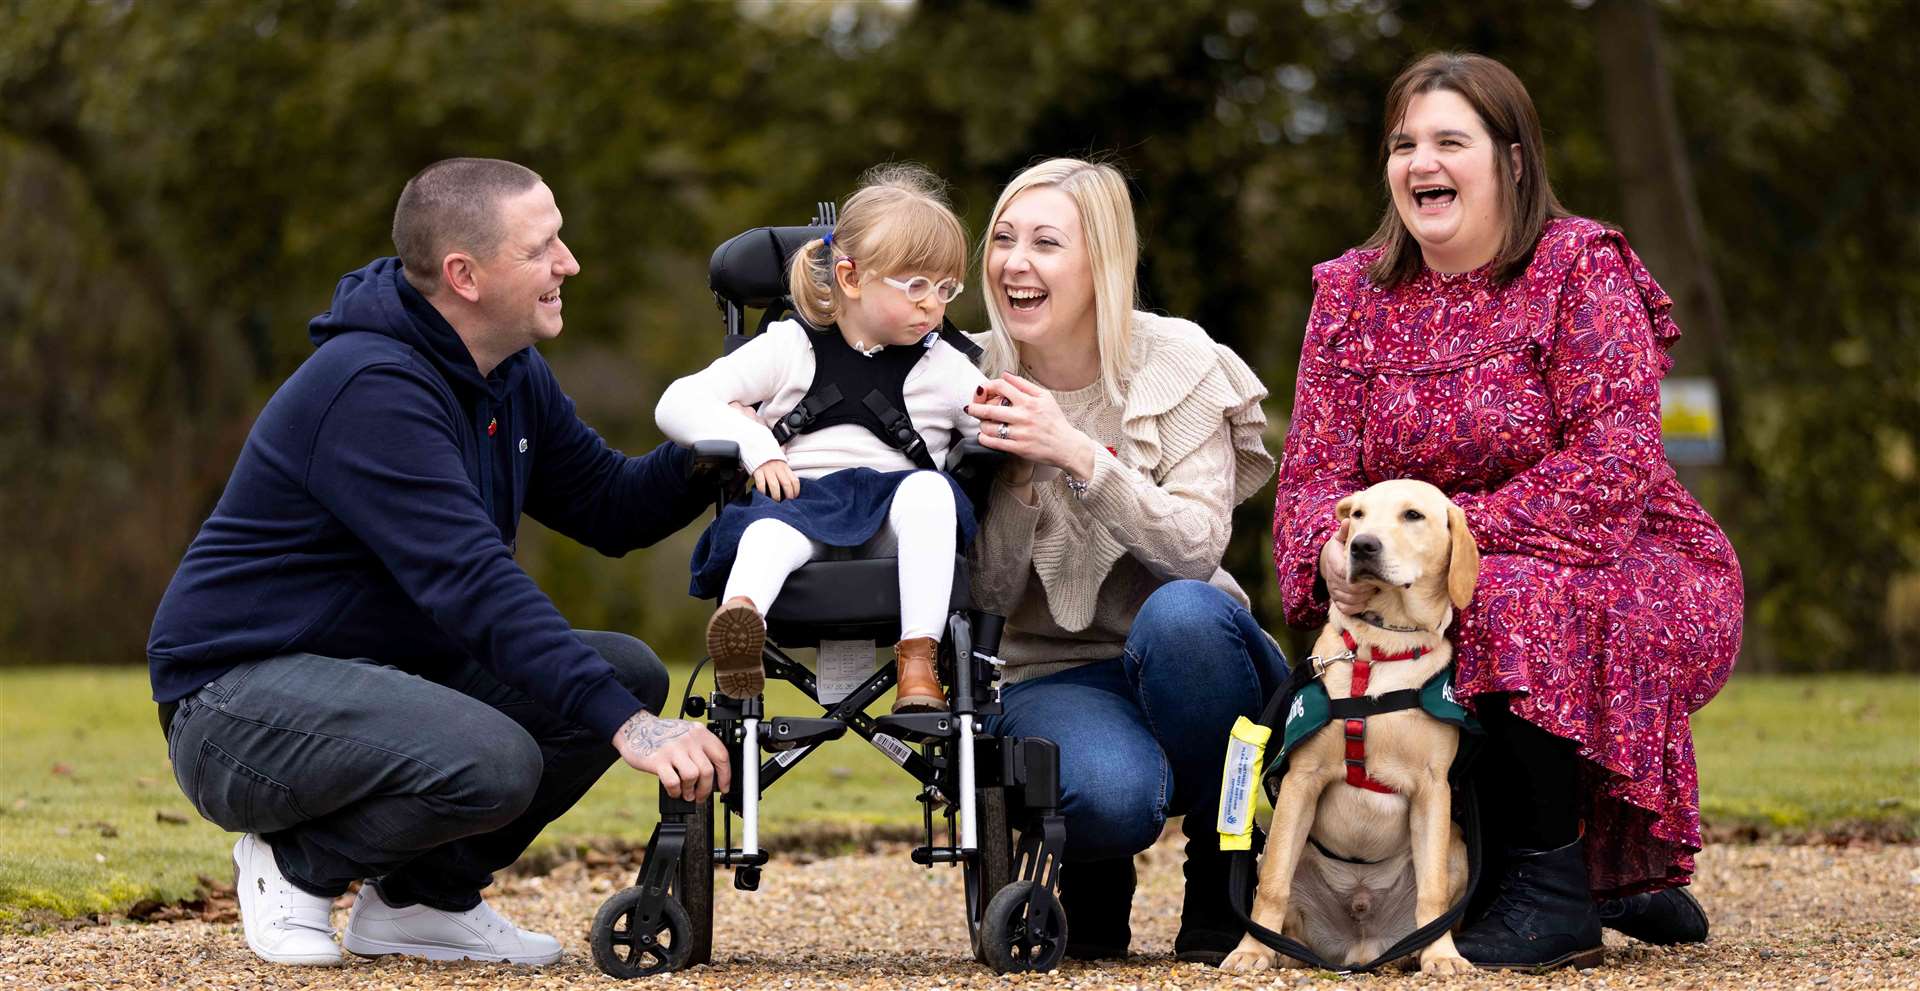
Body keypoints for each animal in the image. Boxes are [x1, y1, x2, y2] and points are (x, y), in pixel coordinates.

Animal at [1221, 480, 1474, 975]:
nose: (1362, 546)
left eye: (1413, 515)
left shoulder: (1433, 790)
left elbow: (1433, 892)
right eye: (1357, 515)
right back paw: (1281, 952)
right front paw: (1251, 949)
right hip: (1273, 852)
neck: (1383, 648)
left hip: (1457, 850)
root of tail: (1360, 947)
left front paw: (1441, 955)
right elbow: (1272, 887)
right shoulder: (1302, 782)